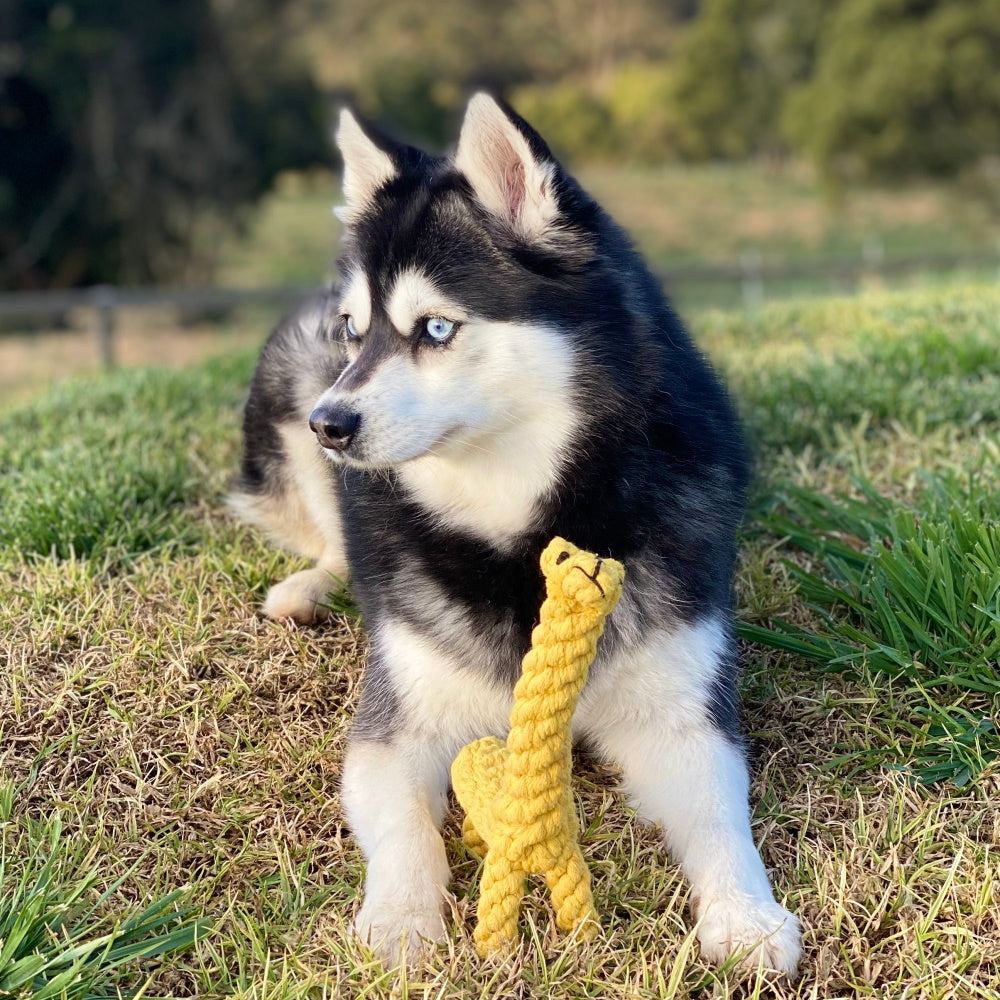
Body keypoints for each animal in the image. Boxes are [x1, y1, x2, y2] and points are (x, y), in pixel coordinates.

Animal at [230, 95, 800, 976]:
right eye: (356, 331)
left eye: (434, 329)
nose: (332, 424)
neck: (518, 533)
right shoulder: (398, 722)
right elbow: (404, 828)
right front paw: (400, 921)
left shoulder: (681, 707)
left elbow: (719, 816)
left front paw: (746, 916)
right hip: (288, 390)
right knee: (325, 535)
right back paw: (306, 589)